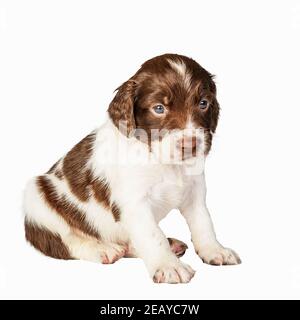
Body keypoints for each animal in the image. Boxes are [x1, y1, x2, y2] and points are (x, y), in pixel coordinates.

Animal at [24, 53, 243, 284]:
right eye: (159, 108)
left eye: (203, 103)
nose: (190, 144)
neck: (163, 162)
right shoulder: (134, 203)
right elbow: (153, 235)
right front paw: (169, 266)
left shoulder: (195, 192)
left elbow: (204, 222)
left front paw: (215, 250)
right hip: (36, 195)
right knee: (62, 243)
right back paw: (102, 249)